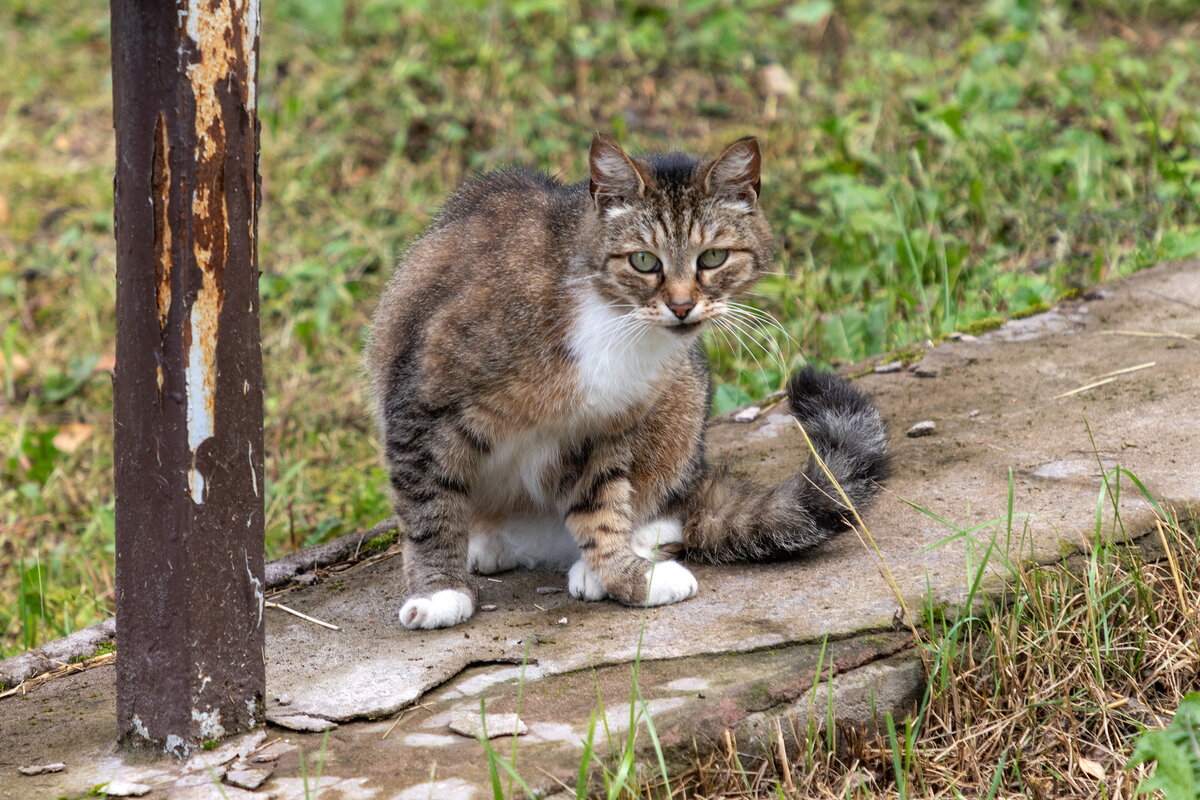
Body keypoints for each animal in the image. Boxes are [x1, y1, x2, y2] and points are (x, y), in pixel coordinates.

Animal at [364, 134, 892, 628]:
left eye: (713, 257)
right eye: (643, 261)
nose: (682, 305)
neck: (607, 316)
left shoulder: (601, 425)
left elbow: (601, 506)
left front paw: (626, 574)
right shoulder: (420, 406)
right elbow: (429, 509)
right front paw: (439, 591)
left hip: (681, 397)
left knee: (672, 508)